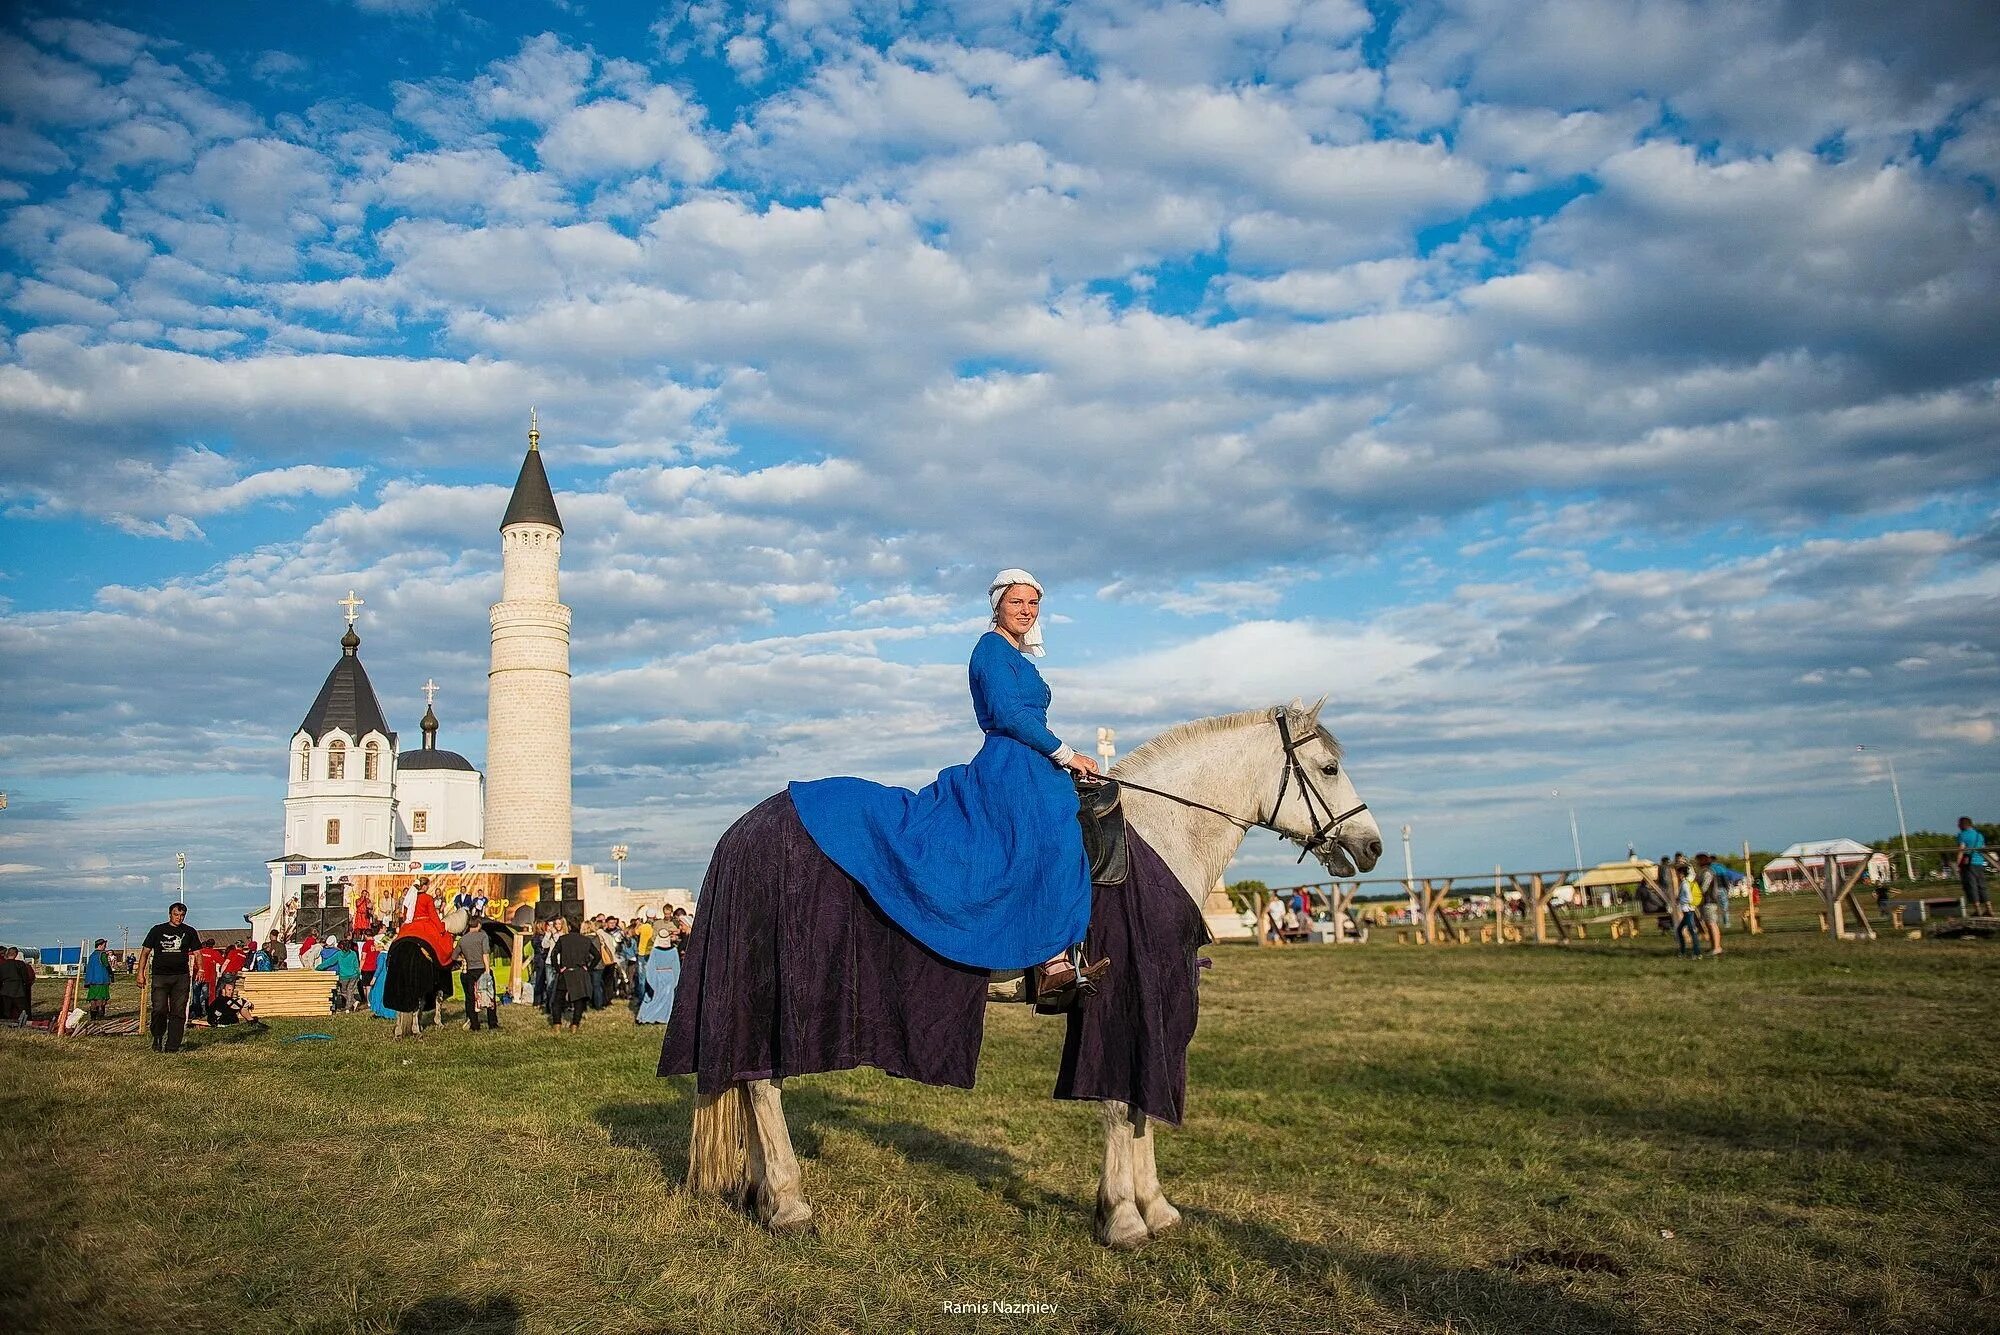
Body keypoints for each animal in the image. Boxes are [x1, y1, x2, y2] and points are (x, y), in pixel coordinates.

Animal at [684, 703, 1376, 1247]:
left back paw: (759, 1196)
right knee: (764, 1087)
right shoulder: (1120, 1002)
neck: (1159, 837)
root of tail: (740, 830)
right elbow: (1119, 1104)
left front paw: (1155, 1207)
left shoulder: (1156, 1002)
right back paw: (789, 1202)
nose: (1370, 846)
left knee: (748, 1080)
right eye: (1329, 769)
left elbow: (1144, 1104)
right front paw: (1123, 1217)